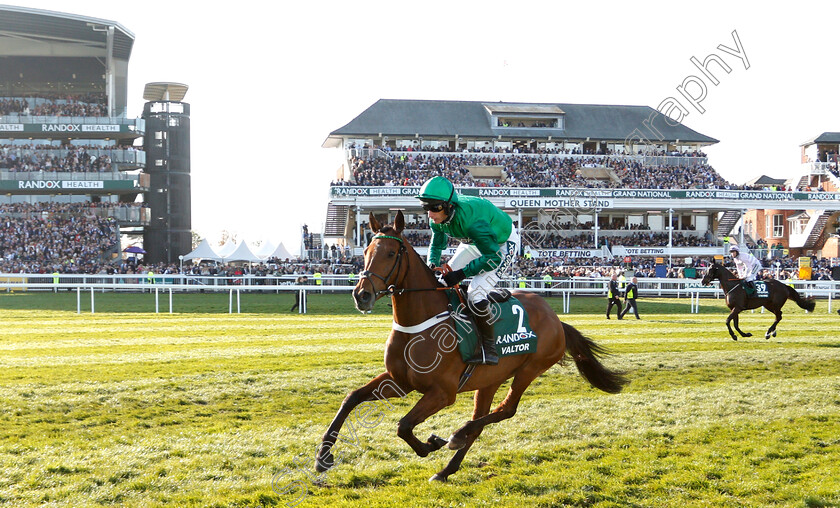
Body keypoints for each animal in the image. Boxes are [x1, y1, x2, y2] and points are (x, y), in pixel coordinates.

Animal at [312, 210, 628, 480]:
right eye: (365, 252)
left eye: (391, 253)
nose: (361, 295)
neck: (419, 323)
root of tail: (556, 319)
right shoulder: (399, 381)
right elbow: (351, 398)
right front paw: (323, 457)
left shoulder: (443, 393)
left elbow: (403, 425)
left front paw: (431, 444)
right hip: (490, 379)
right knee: (484, 419)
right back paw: (446, 469)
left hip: (531, 367)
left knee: (506, 410)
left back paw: (456, 435)